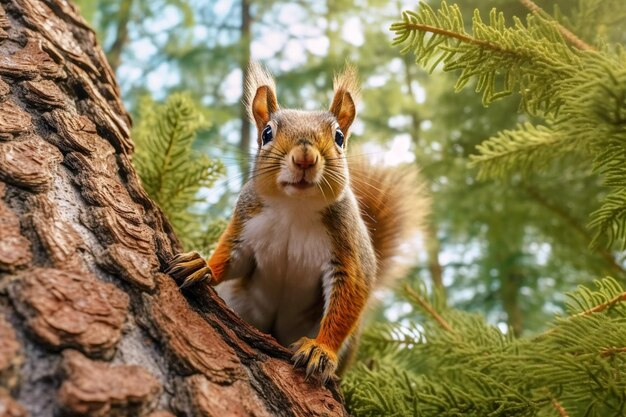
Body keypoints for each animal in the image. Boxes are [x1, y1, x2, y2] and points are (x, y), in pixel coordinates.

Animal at [166, 62, 426, 384]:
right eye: (267, 133)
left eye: (339, 137)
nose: (304, 158)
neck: (295, 207)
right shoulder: (245, 224)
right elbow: (230, 259)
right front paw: (202, 265)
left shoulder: (348, 251)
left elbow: (349, 296)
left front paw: (321, 349)